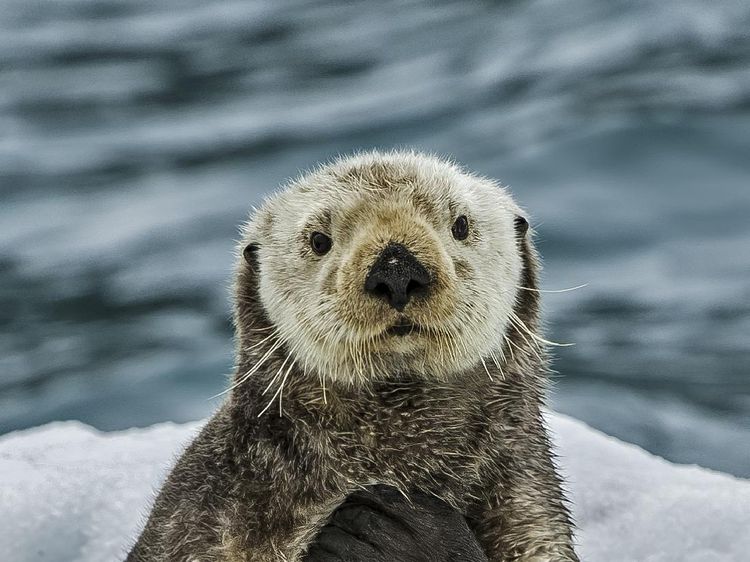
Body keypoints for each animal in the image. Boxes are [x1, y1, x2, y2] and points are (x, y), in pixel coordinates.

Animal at [127, 151, 578, 561]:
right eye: (319, 240)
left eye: (461, 225)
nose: (396, 270)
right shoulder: (204, 510)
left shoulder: (527, 509)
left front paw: (396, 529)